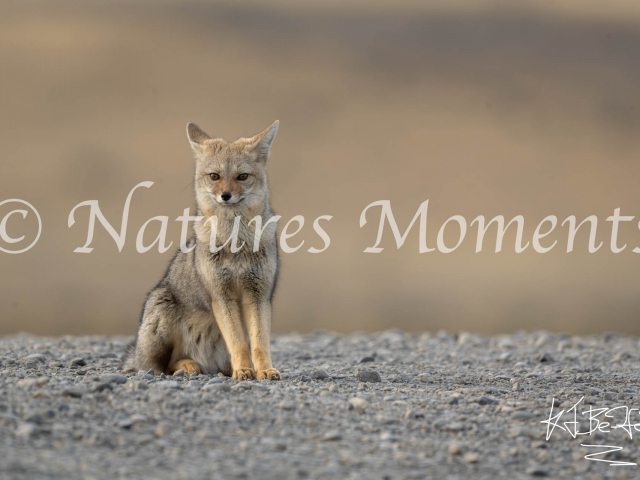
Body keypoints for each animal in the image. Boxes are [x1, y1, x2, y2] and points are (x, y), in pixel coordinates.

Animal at [122, 121, 280, 382]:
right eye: (214, 176)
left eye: (242, 176)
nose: (226, 196)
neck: (235, 242)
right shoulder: (221, 294)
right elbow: (238, 342)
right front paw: (244, 370)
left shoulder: (259, 294)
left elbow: (259, 342)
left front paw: (264, 370)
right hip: (161, 311)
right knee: (162, 366)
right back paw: (189, 365)